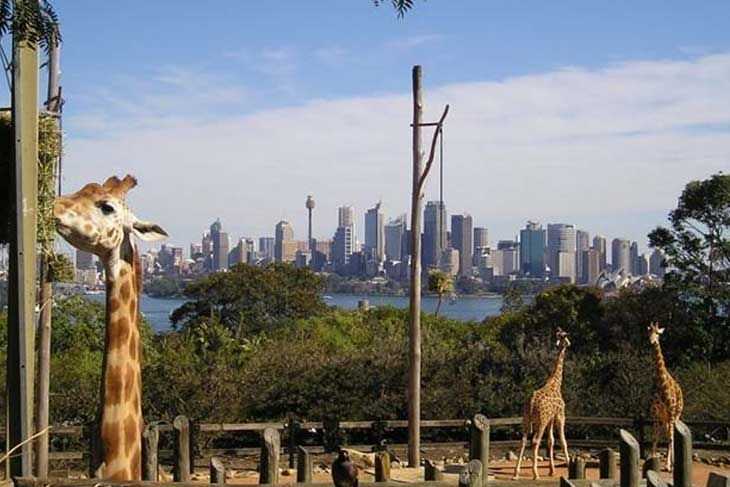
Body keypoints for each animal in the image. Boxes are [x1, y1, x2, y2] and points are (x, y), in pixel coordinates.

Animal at [512, 328, 568, 480]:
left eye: (562, 336)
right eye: (566, 337)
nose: (569, 343)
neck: (556, 383)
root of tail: (531, 402)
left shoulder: (550, 419)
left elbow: (551, 441)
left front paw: (552, 471)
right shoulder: (560, 416)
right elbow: (563, 440)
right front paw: (568, 464)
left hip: (526, 419)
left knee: (523, 440)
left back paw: (516, 473)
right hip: (541, 421)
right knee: (535, 440)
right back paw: (535, 474)